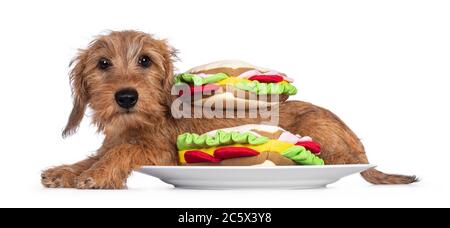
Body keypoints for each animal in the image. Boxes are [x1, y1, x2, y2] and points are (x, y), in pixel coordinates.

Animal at [40, 31, 416, 190]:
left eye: (145, 60)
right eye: (103, 64)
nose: (126, 97)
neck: (136, 122)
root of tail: (360, 150)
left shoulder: (161, 152)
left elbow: (125, 152)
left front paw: (98, 174)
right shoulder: (111, 143)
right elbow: (95, 155)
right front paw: (66, 172)